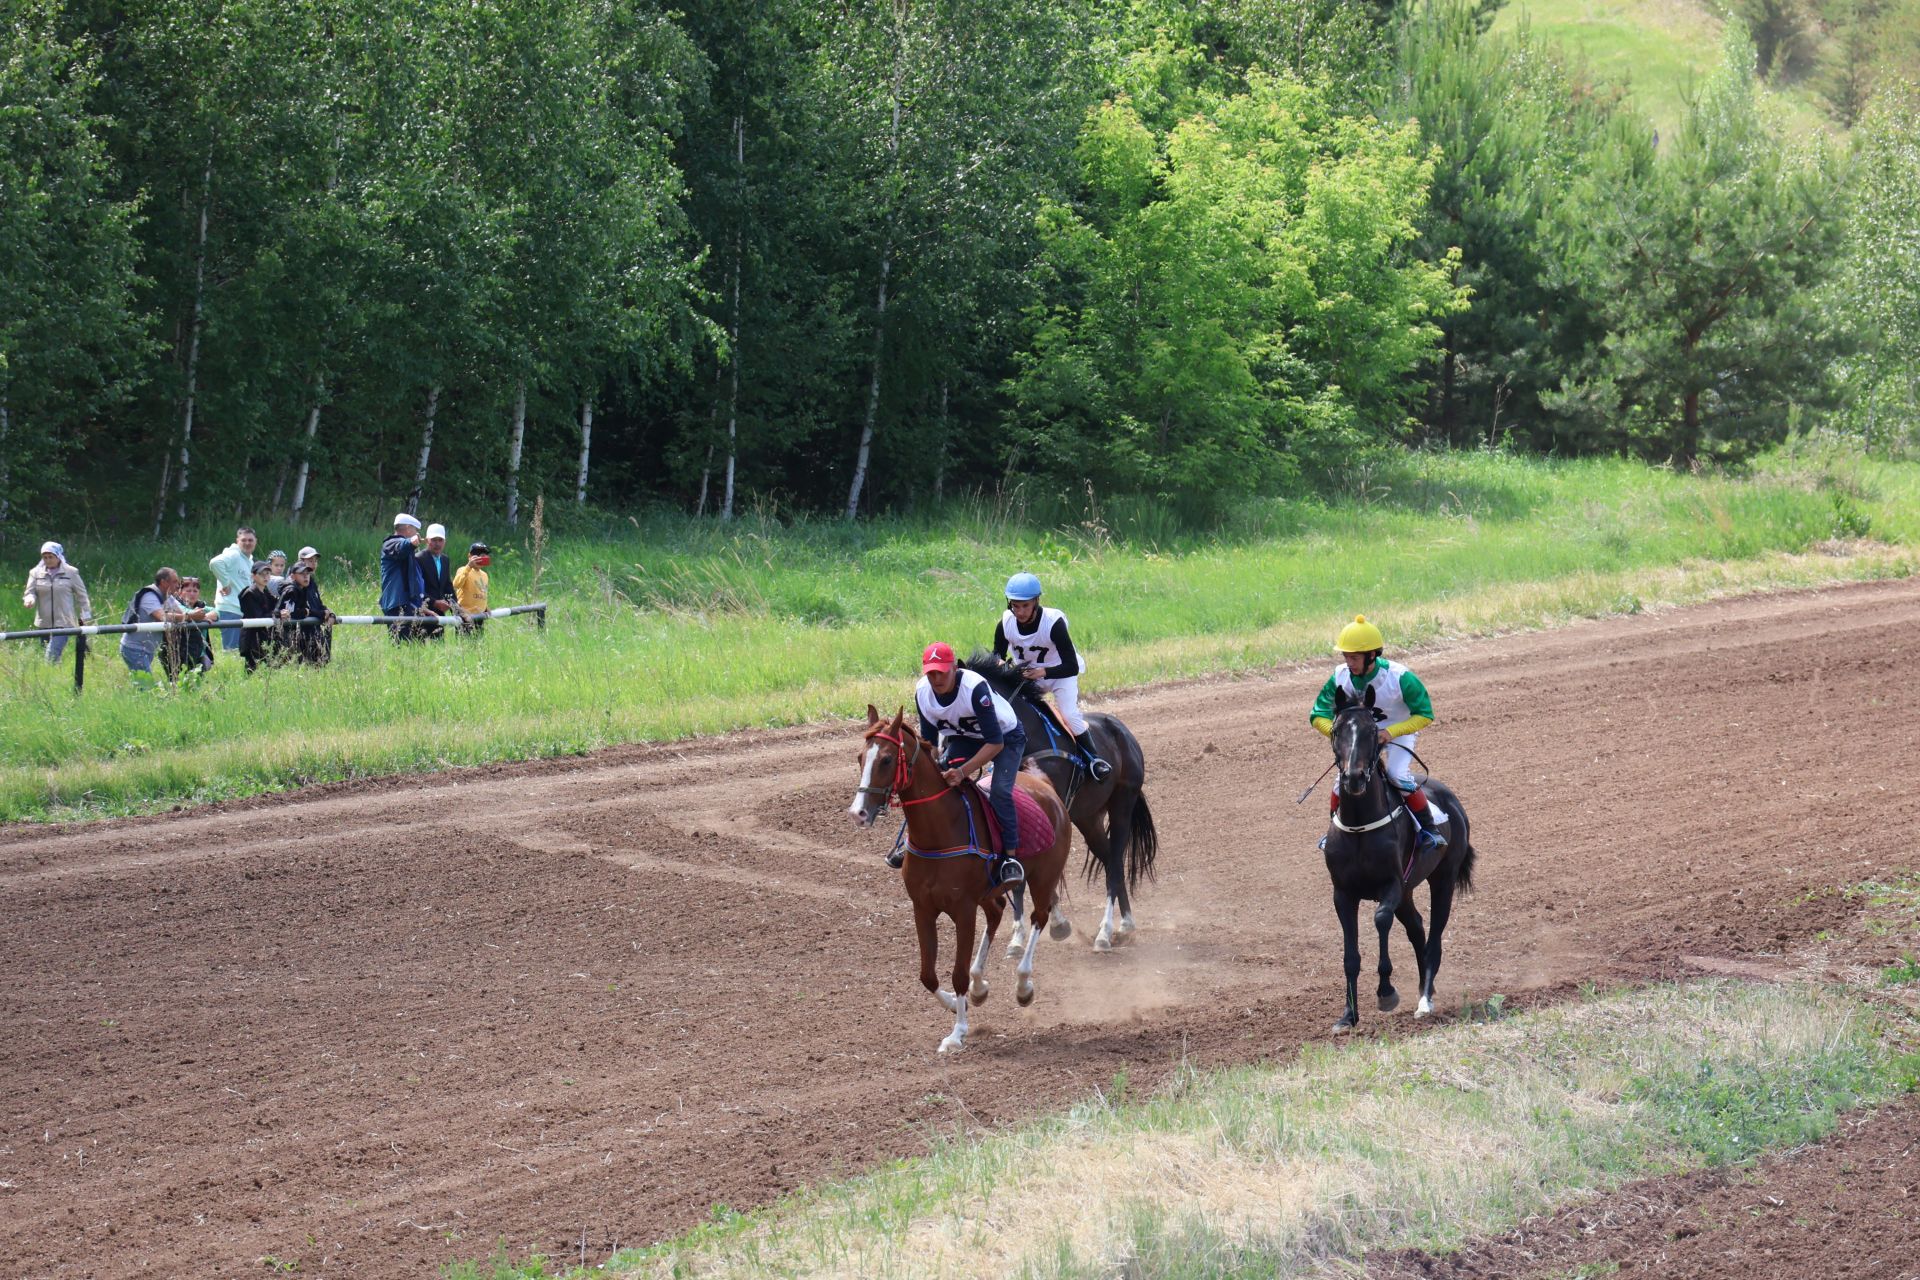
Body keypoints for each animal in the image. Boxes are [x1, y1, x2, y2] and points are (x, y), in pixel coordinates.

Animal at [848, 706, 1075, 1059]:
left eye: (885, 759)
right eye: (861, 757)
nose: (858, 812)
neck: (939, 832)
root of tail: (1044, 785)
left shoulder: (963, 911)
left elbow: (956, 973)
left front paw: (957, 1034)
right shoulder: (923, 908)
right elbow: (927, 974)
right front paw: (957, 1005)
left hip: (1043, 876)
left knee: (1039, 917)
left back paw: (1023, 985)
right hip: (990, 891)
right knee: (997, 912)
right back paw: (980, 986)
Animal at [960, 656, 1152, 955]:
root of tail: (1121, 729)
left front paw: (1051, 923)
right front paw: (1025, 934)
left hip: (1122, 804)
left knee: (1115, 863)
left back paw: (1106, 932)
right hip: (1088, 818)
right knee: (1111, 862)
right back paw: (1125, 924)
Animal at [1328, 687, 1474, 1036]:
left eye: (1371, 730)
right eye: (1337, 730)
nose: (1353, 778)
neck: (1360, 824)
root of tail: (1453, 801)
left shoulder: (1390, 884)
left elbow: (1381, 919)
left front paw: (1386, 992)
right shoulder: (1343, 893)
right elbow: (1350, 956)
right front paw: (1348, 1015)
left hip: (1443, 879)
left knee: (1433, 938)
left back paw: (1425, 1000)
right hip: (1408, 891)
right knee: (1418, 929)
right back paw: (1424, 989)